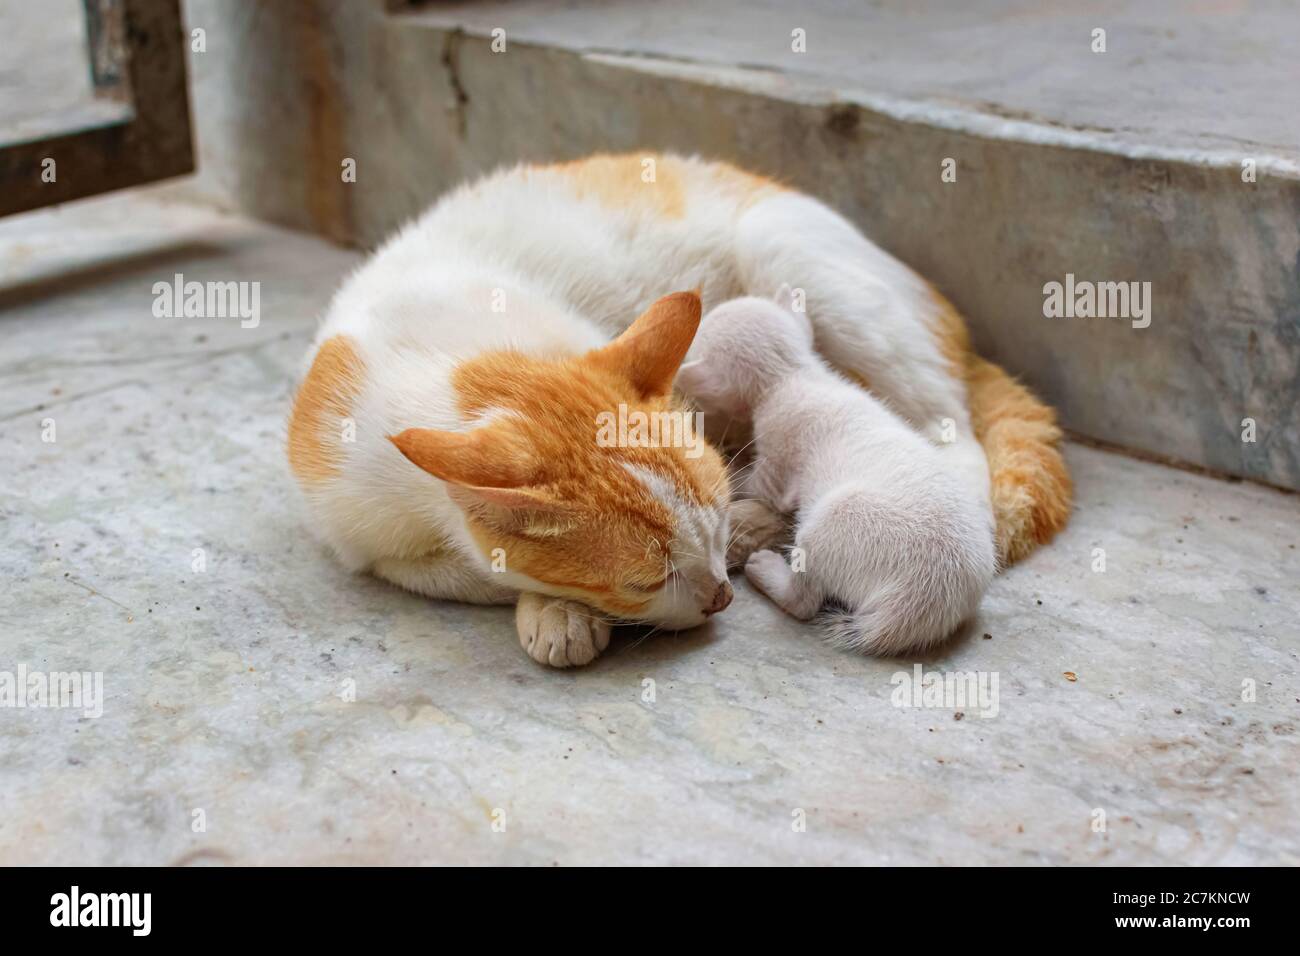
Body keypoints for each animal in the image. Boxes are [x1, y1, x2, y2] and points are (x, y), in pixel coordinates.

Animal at [681, 287, 993, 655]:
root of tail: (929, 600)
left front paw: (726, 464)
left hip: (834, 522)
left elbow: (759, 485)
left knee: (804, 600)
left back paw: (767, 571)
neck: (795, 374)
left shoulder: (779, 446)